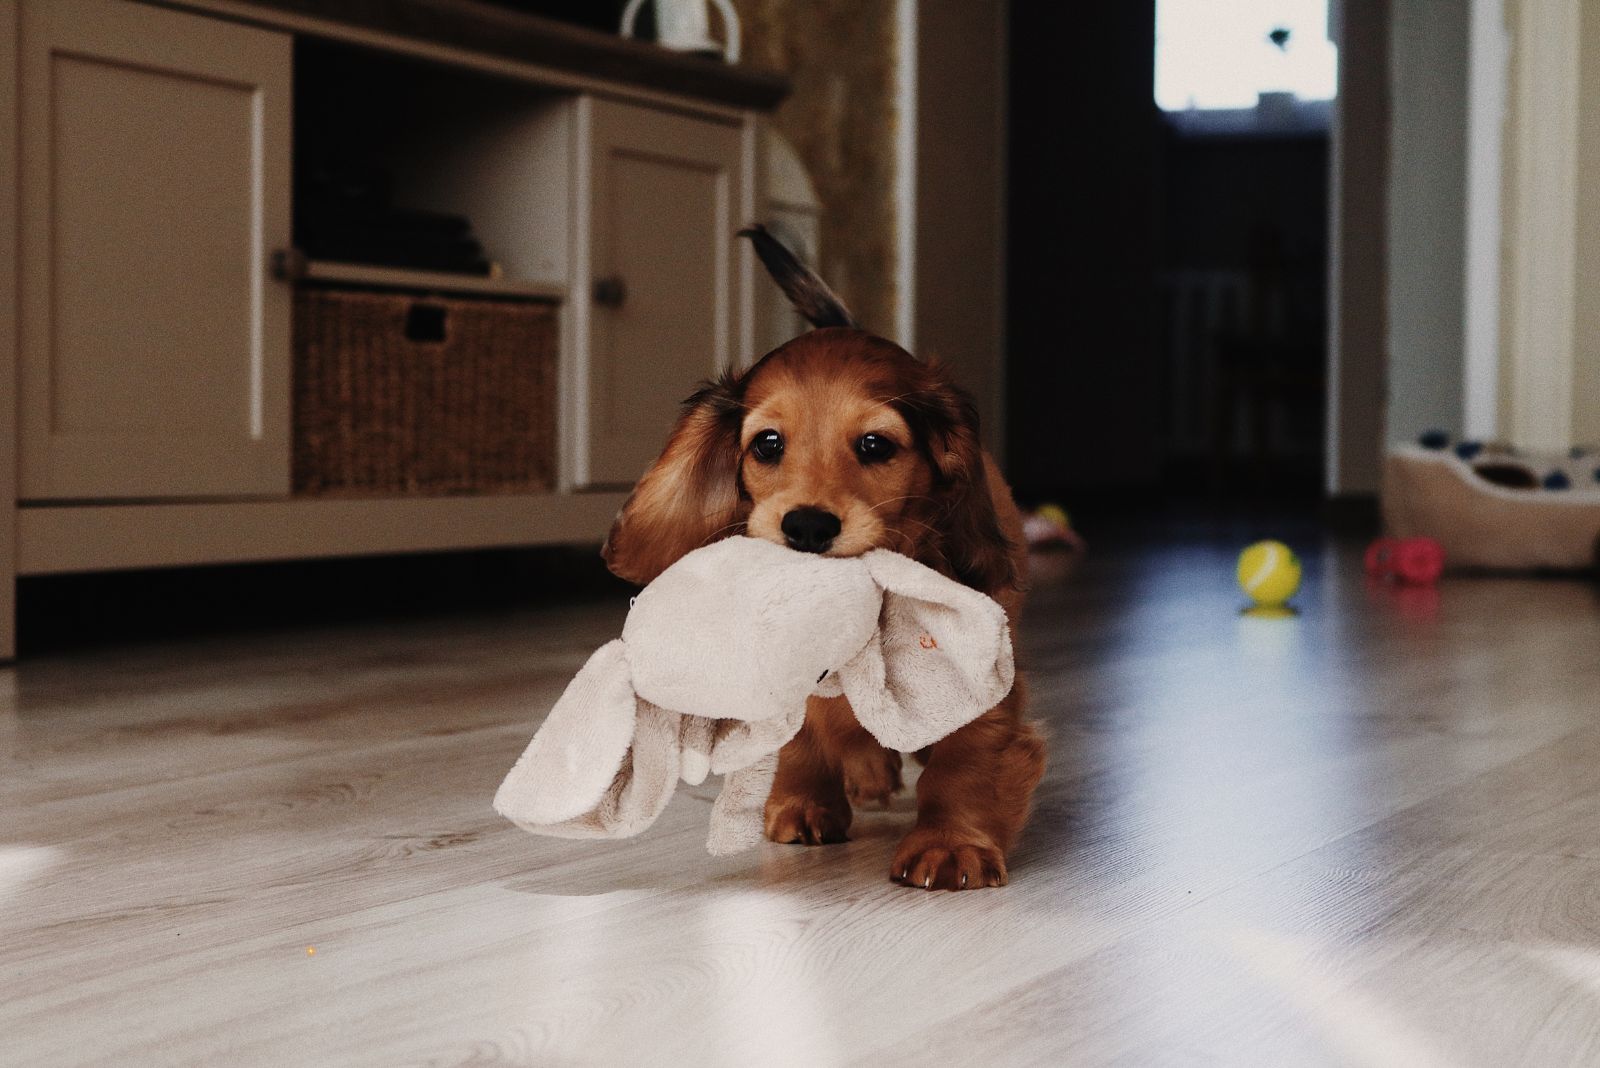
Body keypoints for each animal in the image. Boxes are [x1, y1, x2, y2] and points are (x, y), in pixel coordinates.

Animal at [604, 227, 1043, 895]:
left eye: (875, 444)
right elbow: (802, 735)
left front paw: (950, 844)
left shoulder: (981, 681)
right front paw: (805, 801)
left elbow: (965, 761)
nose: (807, 525)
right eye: (767, 443)